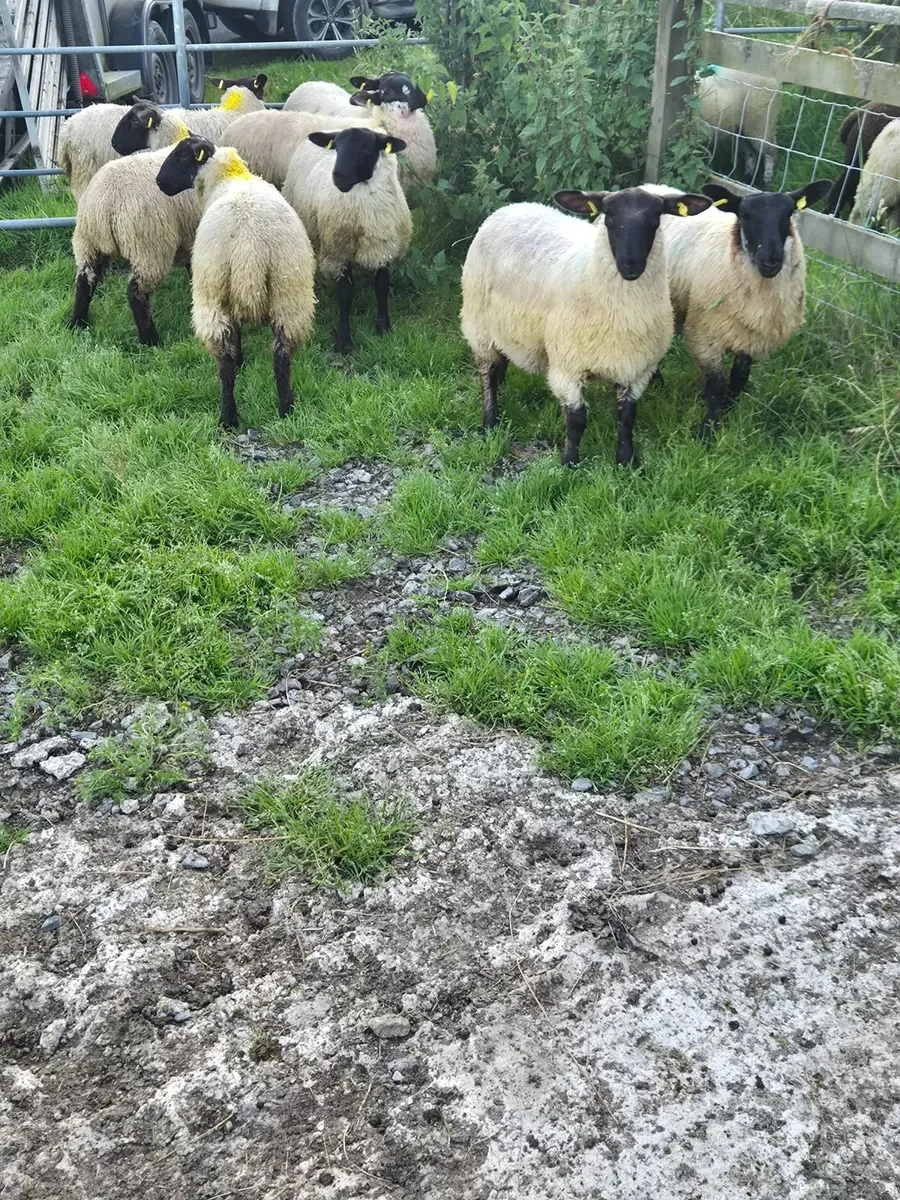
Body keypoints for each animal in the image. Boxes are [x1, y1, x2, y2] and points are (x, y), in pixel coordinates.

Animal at [68, 145, 201, 346]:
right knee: (136, 292)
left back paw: (78, 322)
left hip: (89, 242)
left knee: (85, 280)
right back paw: (150, 340)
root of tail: (104, 201)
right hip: (148, 246)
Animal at [156, 137, 316, 427]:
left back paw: (228, 417)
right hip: (290, 292)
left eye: (182, 156)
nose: (159, 182)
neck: (228, 176)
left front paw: (241, 359)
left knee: (225, 363)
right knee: (282, 356)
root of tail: (248, 244)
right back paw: (286, 408)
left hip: (213, 291)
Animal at [282, 125, 412, 355]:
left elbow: (382, 287)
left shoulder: (383, 248)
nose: (338, 178)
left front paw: (383, 328)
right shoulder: (338, 252)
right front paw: (343, 341)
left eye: (366, 147)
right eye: (337, 147)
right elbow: (345, 294)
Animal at [460, 187, 713, 468]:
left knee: (500, 365)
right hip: (480, 326)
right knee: (487, 372)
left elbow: (627, 418)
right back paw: (490, 421)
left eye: (655, 218)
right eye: (609, 215)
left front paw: (626, 461)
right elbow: (576, 420)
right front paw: (570, 462)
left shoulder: (635, 369)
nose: (630, 266)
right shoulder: (567, 366)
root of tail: (511, 207)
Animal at [644, 178, 831, 439]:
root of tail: (648, 186)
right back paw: (658, 385)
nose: (771, 260)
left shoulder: (750, 335)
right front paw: (707, 431)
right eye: (744, 216)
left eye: (789, 213)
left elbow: (739, 379)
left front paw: (728, 412)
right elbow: (716, 385)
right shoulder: (705, 335)